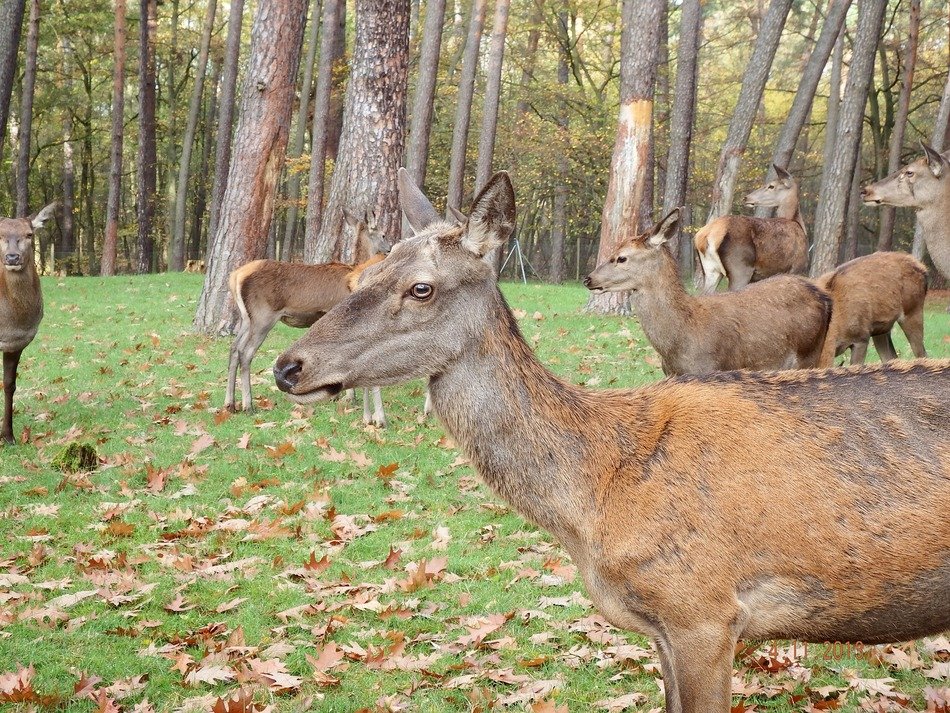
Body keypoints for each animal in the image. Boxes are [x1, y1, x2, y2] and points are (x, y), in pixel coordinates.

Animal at [225, 210, 390, 426]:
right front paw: (348, 397)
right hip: (263, 316)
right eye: (384, 234)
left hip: (247, 319)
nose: (390, 247)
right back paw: (248, 405)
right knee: (246, 353)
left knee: (234, 348)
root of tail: (235, 276)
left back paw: (230, 404)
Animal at [694, 165, 809, 294]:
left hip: (711, 271)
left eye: (771, 186)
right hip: (740, 269)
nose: (746, 197)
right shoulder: (797, 267)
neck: (798, 223)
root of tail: (704, 236)